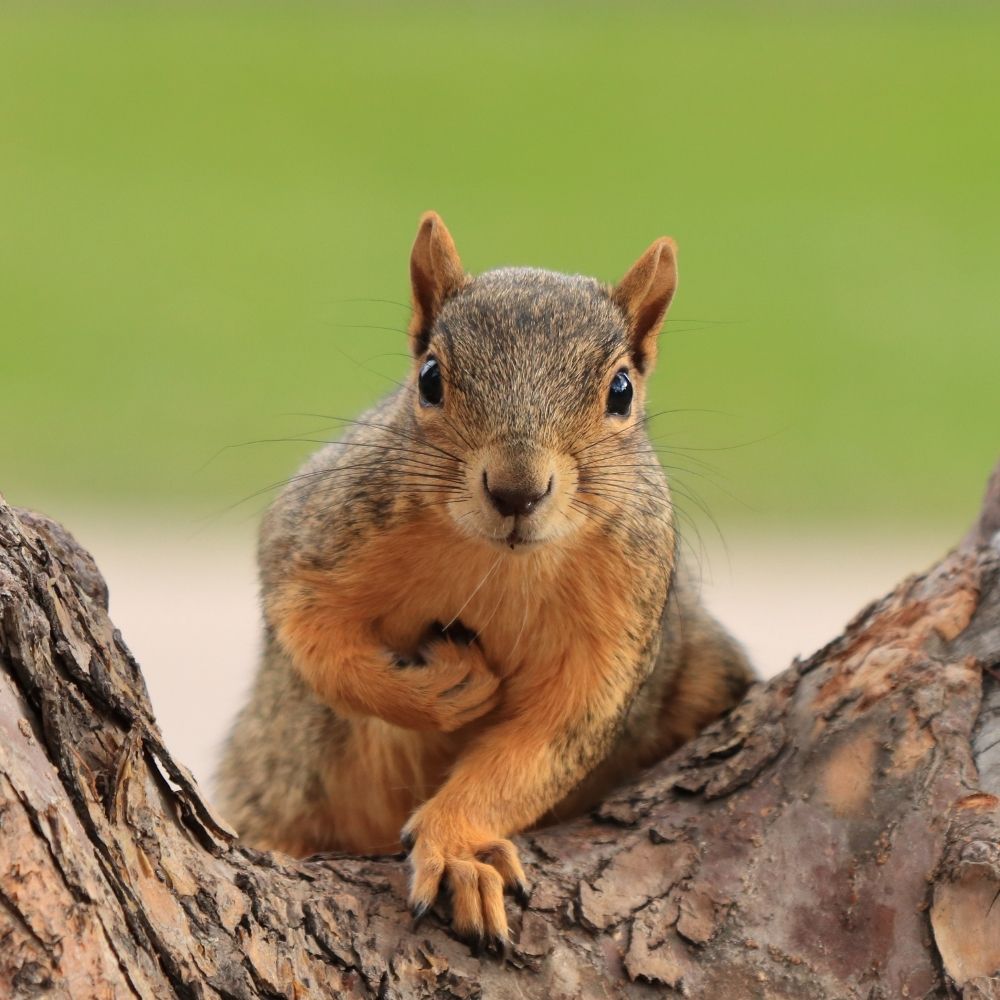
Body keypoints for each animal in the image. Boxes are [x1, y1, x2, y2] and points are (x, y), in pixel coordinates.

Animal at [215, 212, 753, 951]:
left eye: (621, 392)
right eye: (429, 379)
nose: (516, 491)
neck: (499, 564)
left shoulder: (620, 625)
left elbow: (542, 745)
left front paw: (458, 849)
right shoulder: (318, 535)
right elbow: (312, 638)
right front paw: (440, 690)